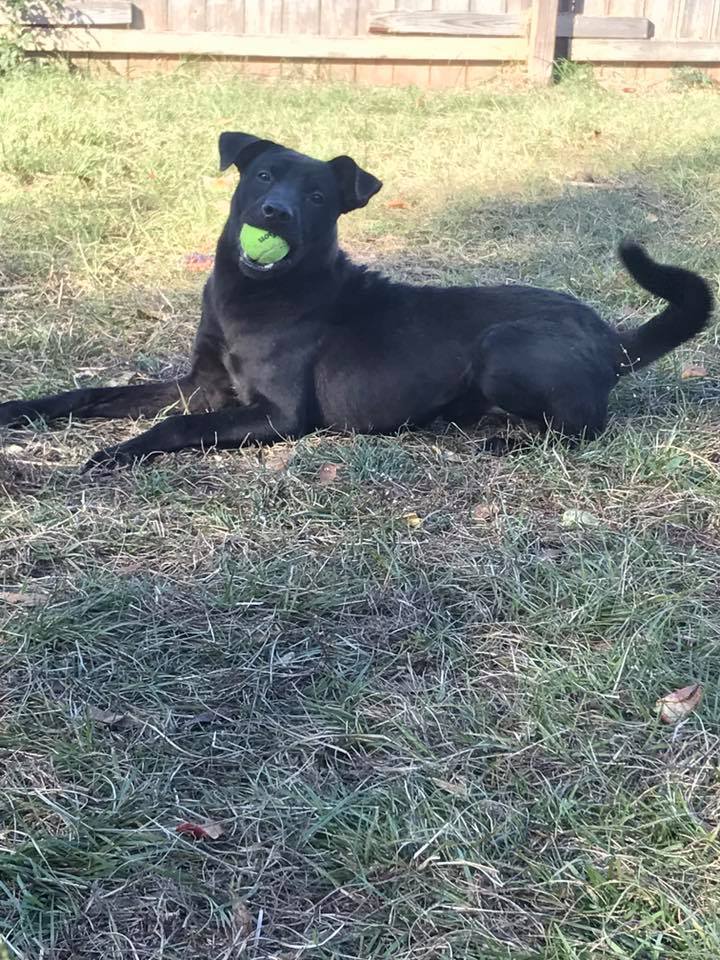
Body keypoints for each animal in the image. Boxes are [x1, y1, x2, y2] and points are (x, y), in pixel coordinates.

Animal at [0, 131, 712, 468]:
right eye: (263, 175)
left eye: (318, 196)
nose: (276, 213)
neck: (256, 294)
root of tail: (612, 338)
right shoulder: (199, 385)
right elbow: (95, 393)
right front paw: (20, 409)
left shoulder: (279, 417)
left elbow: (178, 426)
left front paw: (119, 450)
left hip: (502, 348)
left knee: (582, 427)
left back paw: (504, 442)